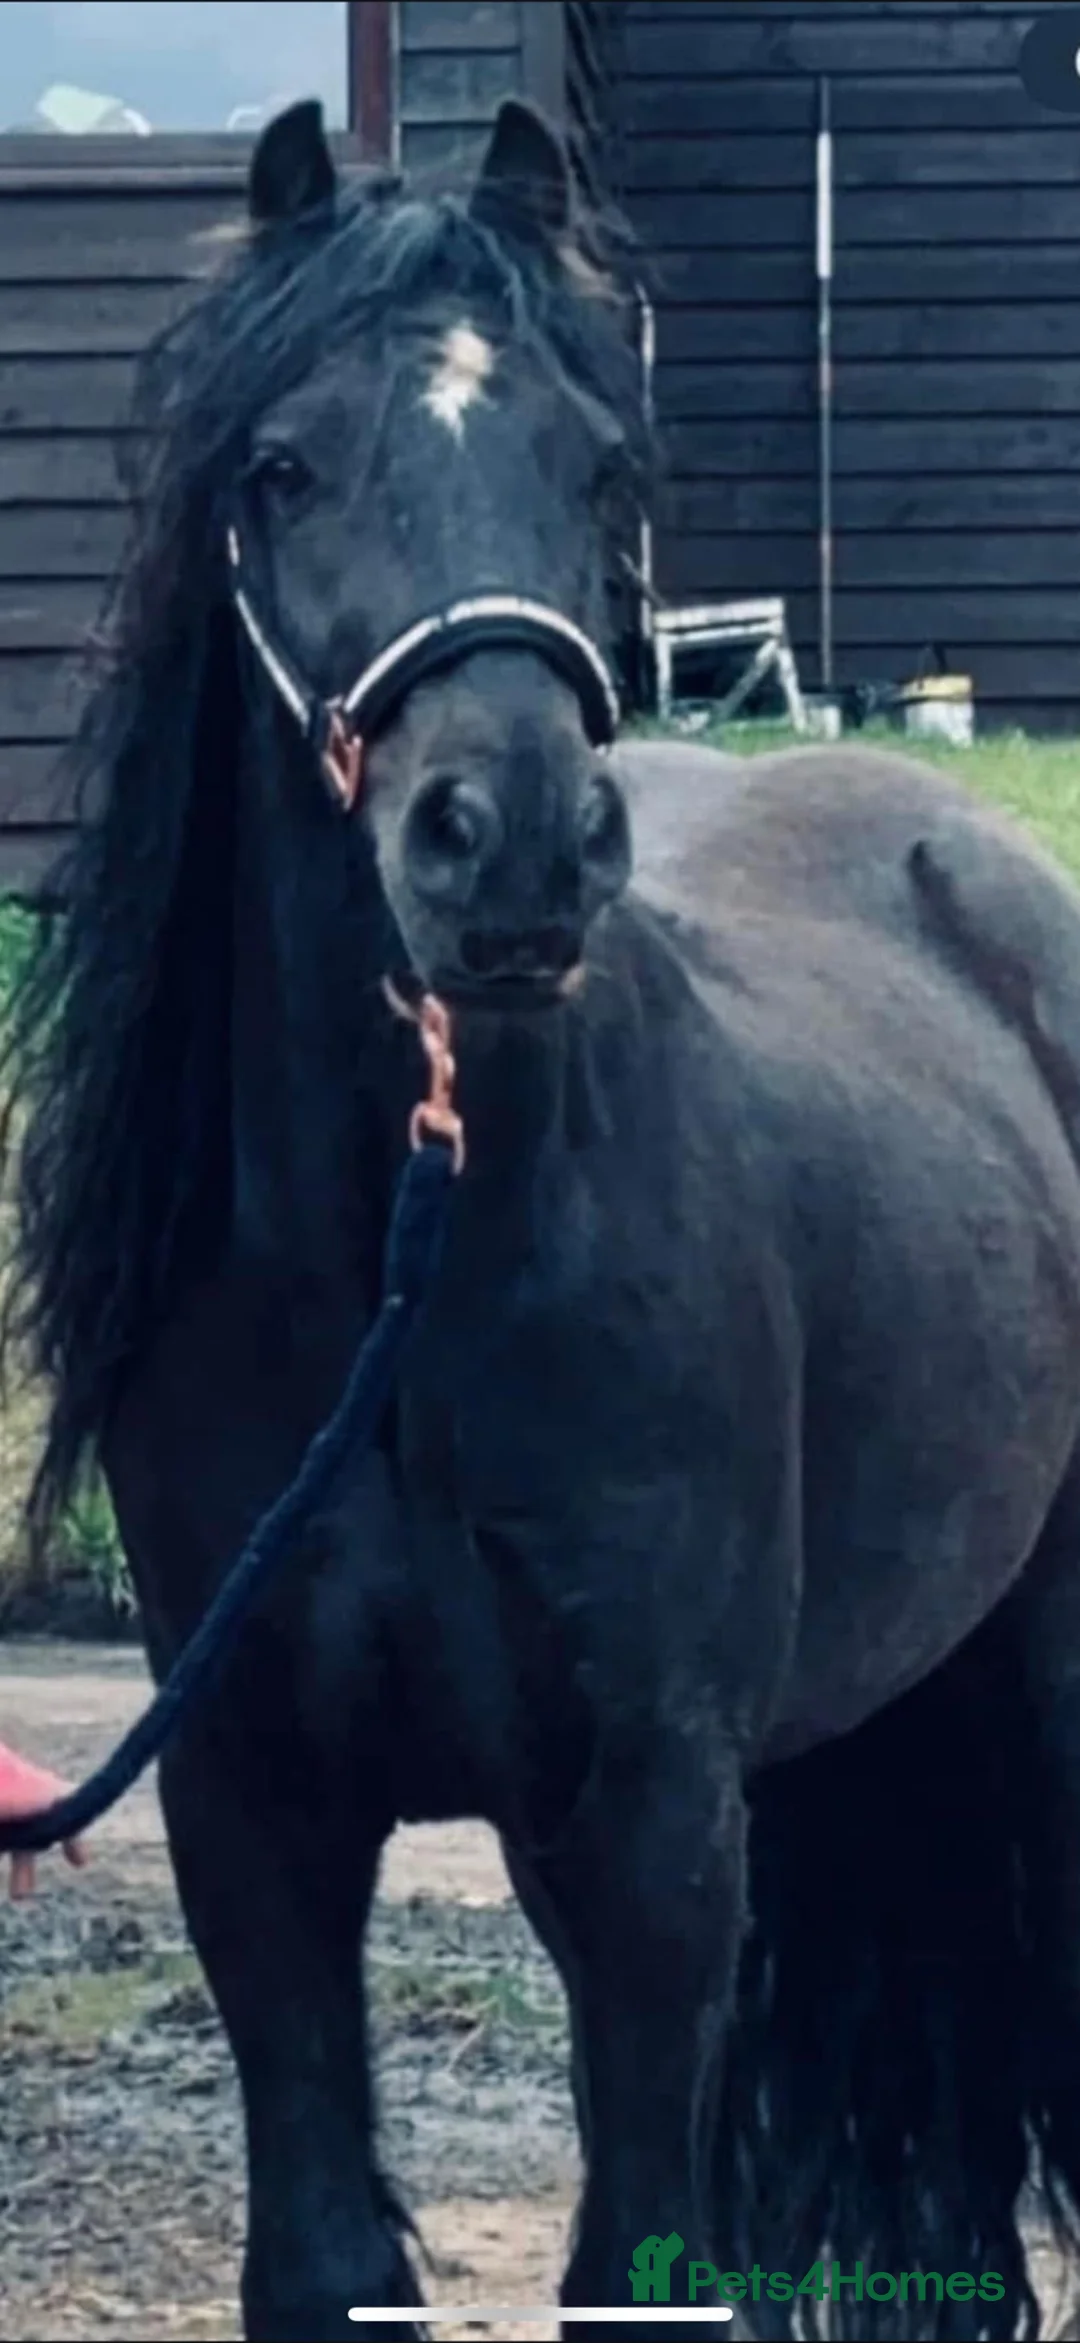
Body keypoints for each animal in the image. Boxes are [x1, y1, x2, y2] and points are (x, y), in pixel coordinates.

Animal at [9, 91, 1080, 2343]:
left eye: (598, 463)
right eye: (280, 466)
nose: (507, 844)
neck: (403, 1285)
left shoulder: (659, 1824)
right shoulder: (257, 1816)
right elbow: (327, 2259)